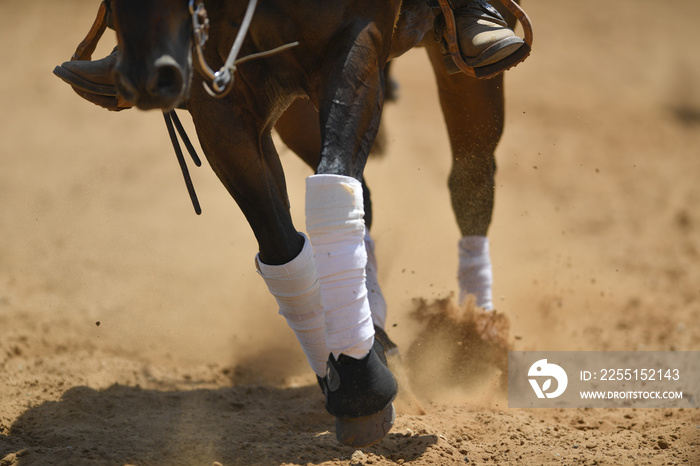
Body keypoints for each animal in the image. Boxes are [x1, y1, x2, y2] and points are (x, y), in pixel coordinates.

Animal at [97, 0, 532, 448]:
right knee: (367, 200)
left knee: (471, 172)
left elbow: (331, 185)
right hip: (295, 109)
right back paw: (385, 330)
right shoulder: (219, 103)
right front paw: (349, 368)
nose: (148, 74)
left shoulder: (354, 44)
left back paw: (473, 338)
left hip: (459, 73)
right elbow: (280, 242)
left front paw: (360, 381)